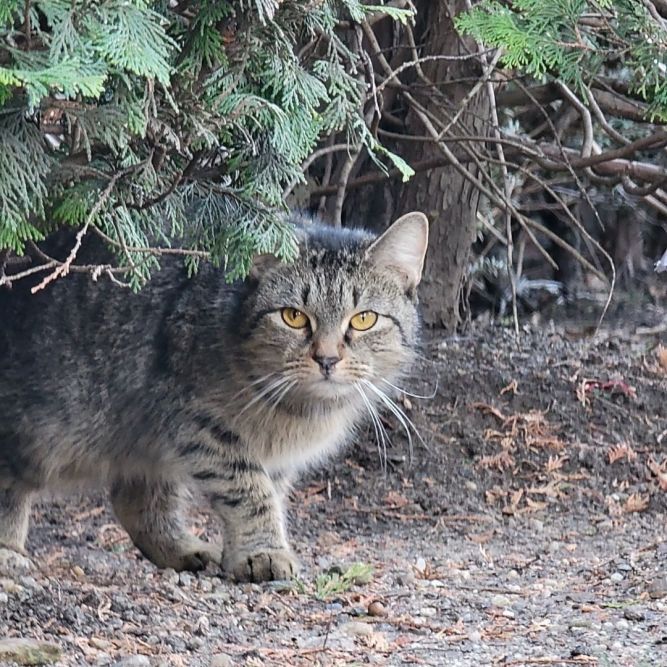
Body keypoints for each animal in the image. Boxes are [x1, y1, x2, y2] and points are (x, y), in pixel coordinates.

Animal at [0, 211, 428, 580]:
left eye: (363, 319)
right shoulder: (202, 424)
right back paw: (8, 555)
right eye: (293, 317)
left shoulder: (273, 460)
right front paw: (263, 551)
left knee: (134, 500)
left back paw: (180, 548)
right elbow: (250, 492)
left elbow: (271, 493)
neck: (298, 411)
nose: (327, 358)